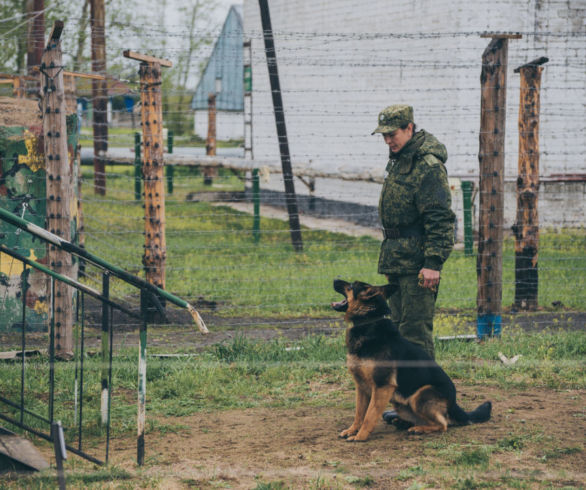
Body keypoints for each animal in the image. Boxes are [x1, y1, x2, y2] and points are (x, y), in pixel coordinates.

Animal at [330, 278, 490, 442]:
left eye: (350, 286)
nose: (335, 279)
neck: (369, 321)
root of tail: (454, 404)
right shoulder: (361, 387)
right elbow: (359, 413)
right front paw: (352, 430)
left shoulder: (382, 387)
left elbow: (369, 415)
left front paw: (360, 436)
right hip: (401, 404)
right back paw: (403, 422)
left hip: (419, 395)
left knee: (443, 424)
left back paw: (418, 429)